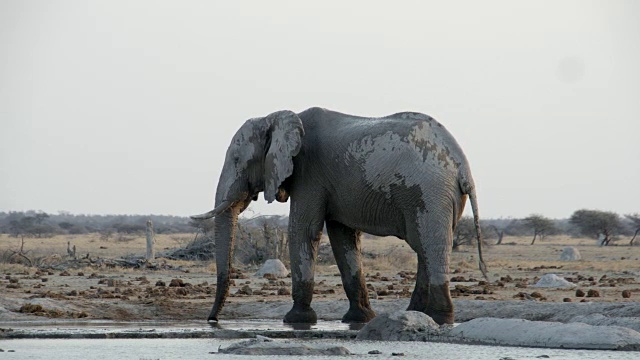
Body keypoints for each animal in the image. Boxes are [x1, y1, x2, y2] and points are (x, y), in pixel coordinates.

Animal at [192, 107, 488, 326]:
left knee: (431, 244)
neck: (276, 118)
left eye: (237, 160)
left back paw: (439, 318)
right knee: (425, 247)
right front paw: (358, 319)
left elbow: (304, 230)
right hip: (441, 196)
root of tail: (463, 166)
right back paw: (415, 314)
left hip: (430, 191)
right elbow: (342, 237)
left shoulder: (309, 173)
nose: (212, 320)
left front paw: (296, 320)